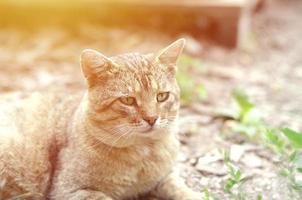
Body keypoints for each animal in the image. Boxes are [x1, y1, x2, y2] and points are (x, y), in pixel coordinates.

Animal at [1, 39, 202, 200]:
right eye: (128, 100)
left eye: (161, 96)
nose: (152, 118)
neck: (142, 155)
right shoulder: (69, 190)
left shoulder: (164, 177)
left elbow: (181, 188)